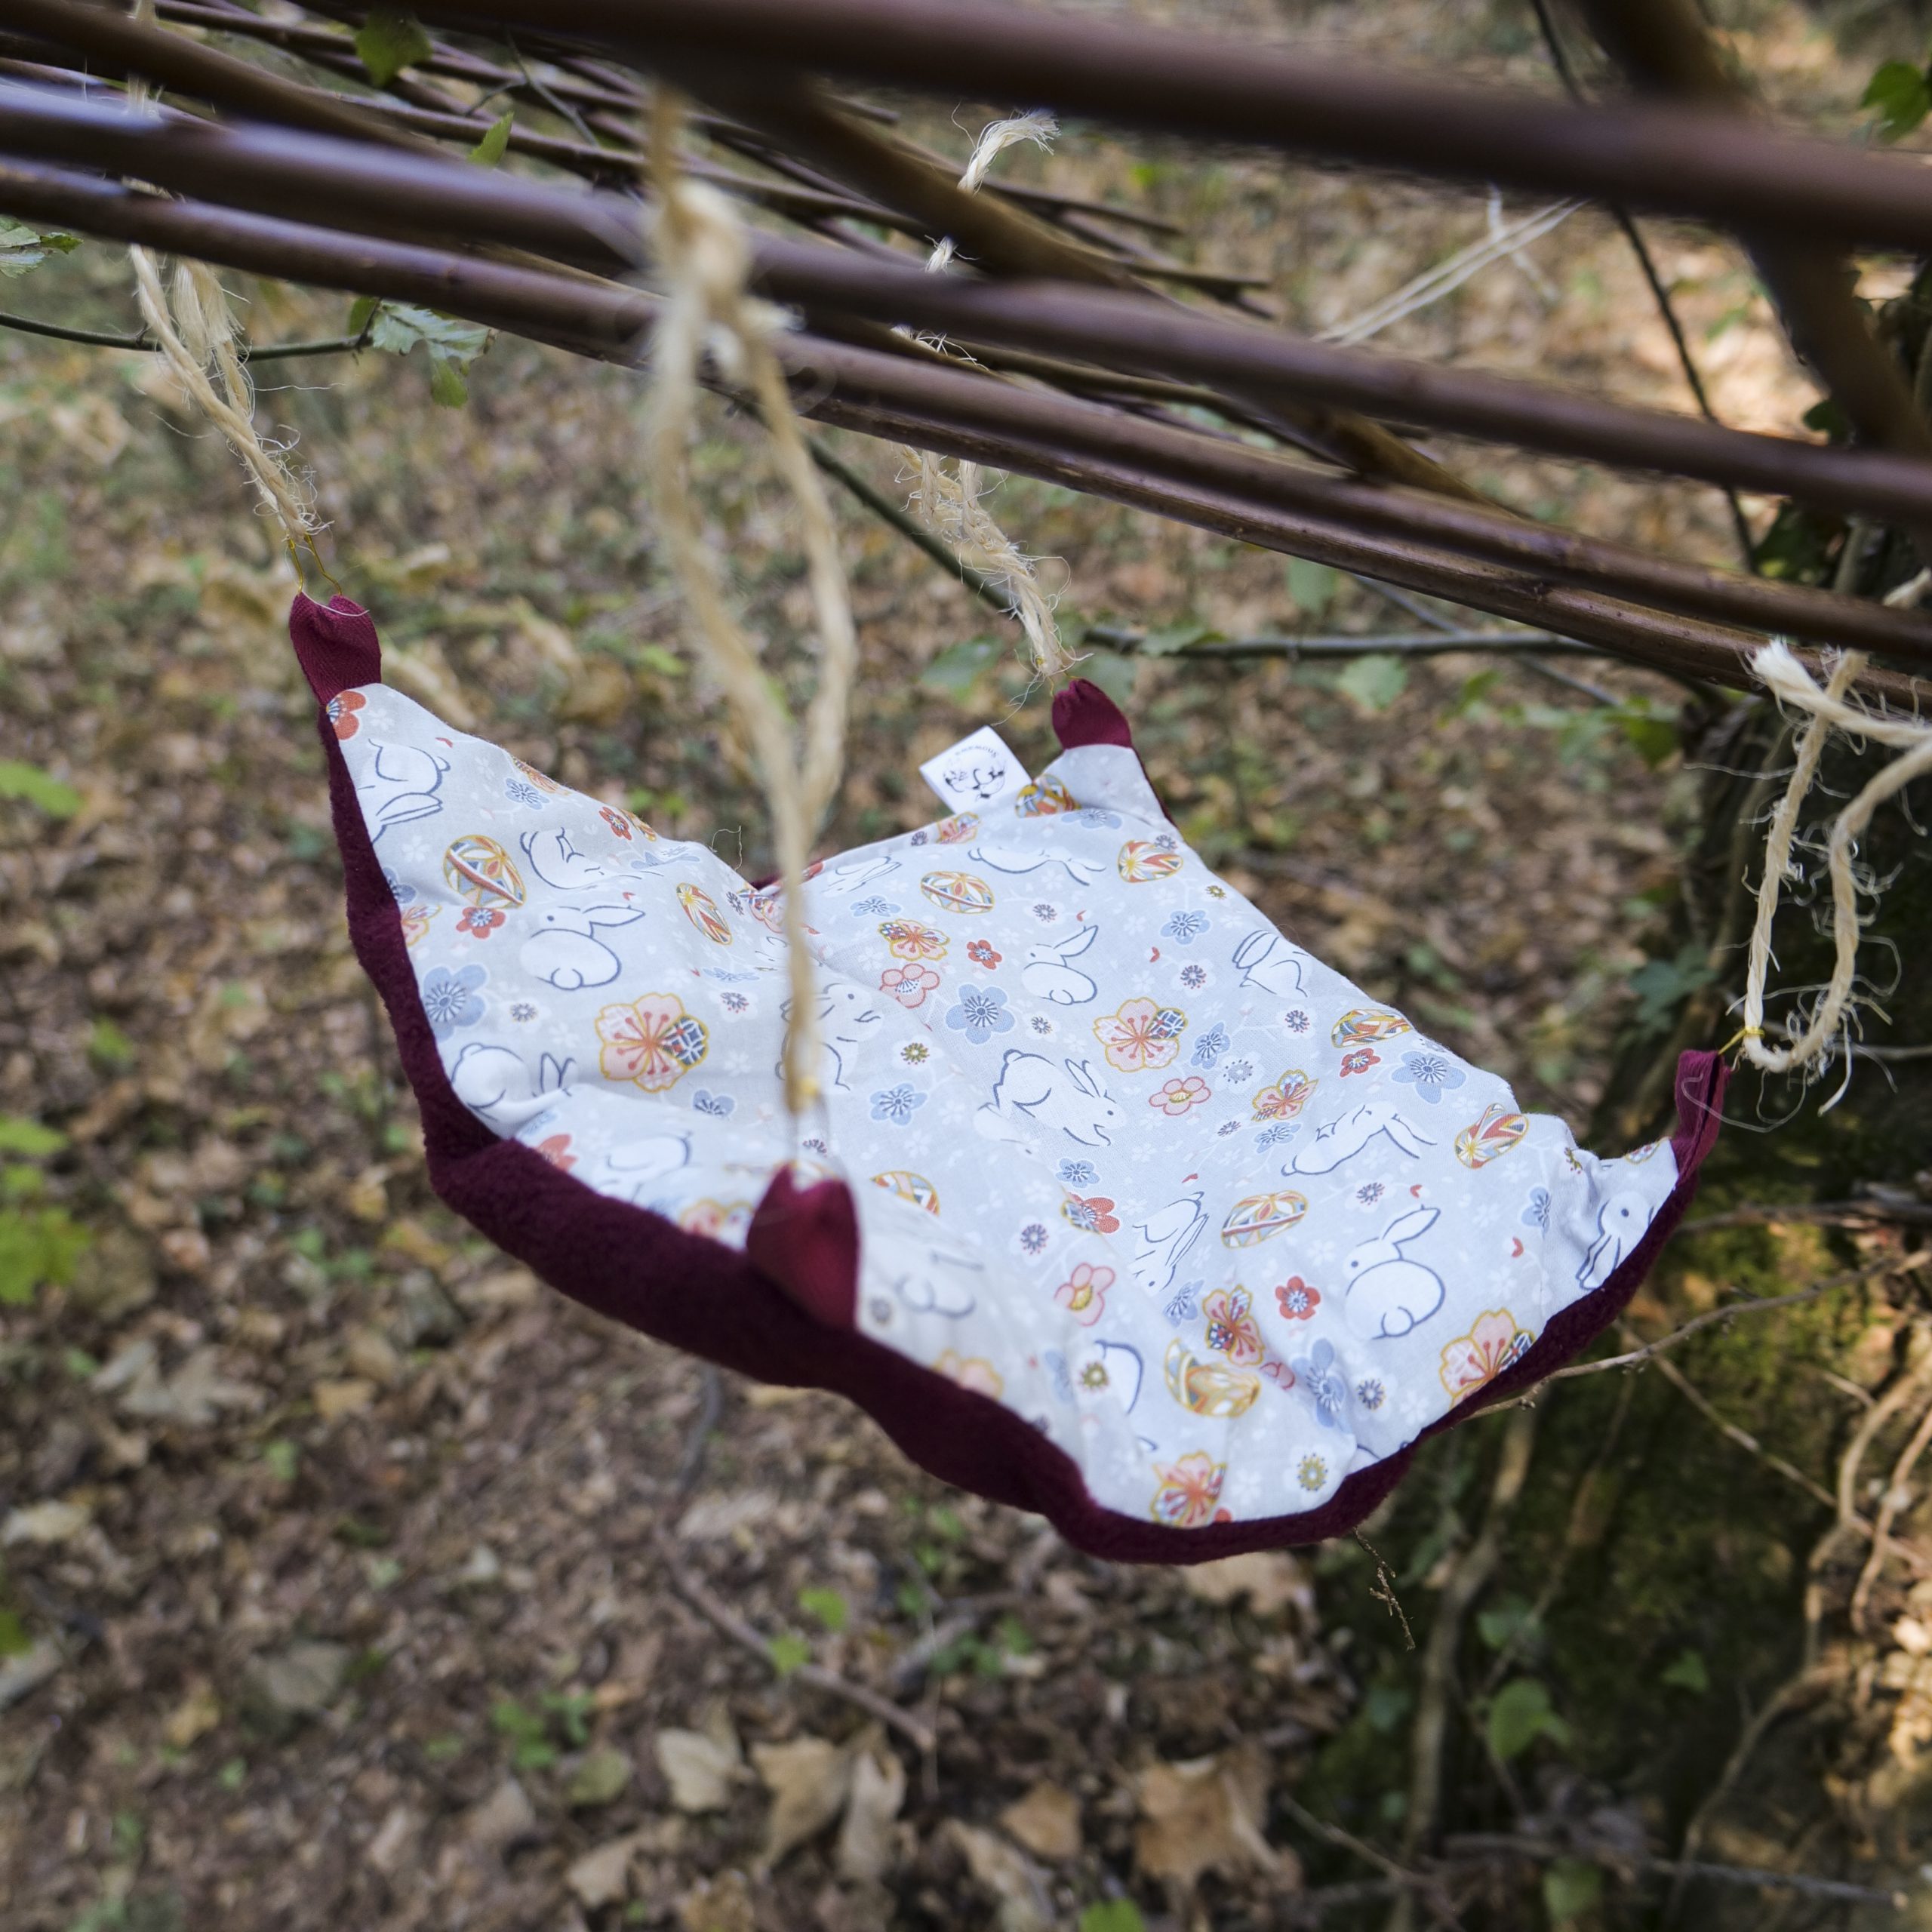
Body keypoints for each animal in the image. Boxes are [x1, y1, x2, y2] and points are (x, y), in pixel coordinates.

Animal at [977, 1052, 1121, 1146]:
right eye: (1110, 1113)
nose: (1123, 1121)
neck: (1089, 1105)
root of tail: (1015, 1059)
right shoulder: (1079, 1125)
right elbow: (1089, 1136)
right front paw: (1105, 1141)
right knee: (1001, 1089)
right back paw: (1004, 1111)